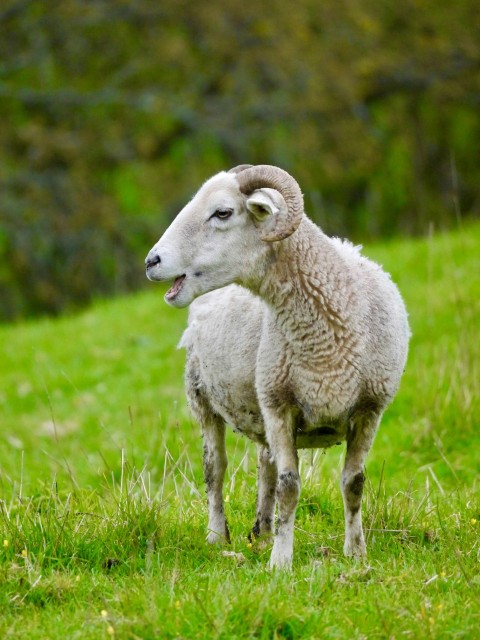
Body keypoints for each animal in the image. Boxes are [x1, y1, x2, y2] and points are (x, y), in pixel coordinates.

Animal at [145, 164, 410, 569]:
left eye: (223, 212)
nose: (151, 261)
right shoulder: (279, 405)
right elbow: (290, 485)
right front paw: (281, 561)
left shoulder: (370, 409)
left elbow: (354, 483)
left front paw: (356, 553)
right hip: (203, 397)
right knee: (215, 468)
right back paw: (218, 535)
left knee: (264, 464)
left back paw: (264, 530)